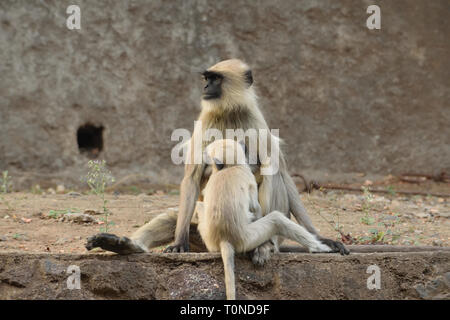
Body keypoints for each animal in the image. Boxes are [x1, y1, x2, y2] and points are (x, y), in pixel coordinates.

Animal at [86, 58, 350, 262]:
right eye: (207, 77)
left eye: (216, 79)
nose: (205, 85)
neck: (229, 111)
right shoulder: (206, 119)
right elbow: (192, 178)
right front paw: (179, 243)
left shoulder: (255, 119)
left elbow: (282, 173)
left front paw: (321, 236)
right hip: (202, 234)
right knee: (173, 218)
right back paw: (124, 245)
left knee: (272, 174)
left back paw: (266, 246)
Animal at [199, 139, 332, 300]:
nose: (243, 143)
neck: (229, 168)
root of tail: (224, 238)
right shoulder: (246, 175)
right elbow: (254, 208)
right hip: (247, 238)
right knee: (276, 219)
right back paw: (317, 248)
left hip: (210, 240)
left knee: (200, 207)